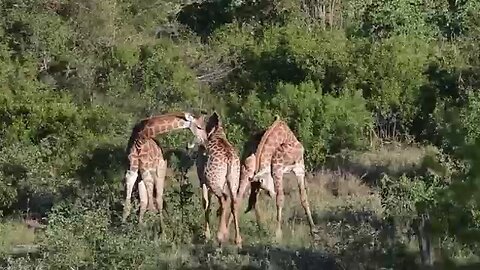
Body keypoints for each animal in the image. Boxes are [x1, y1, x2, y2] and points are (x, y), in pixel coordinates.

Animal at [193, 111, 242, 247]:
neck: (218, 133)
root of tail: (229, 158)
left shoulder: (202, 180)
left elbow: (205, 202)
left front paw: (207, 235)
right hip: (233, 179)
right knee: (234, 201)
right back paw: (238, 240)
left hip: (213, 180)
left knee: (223, 198)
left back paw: (220, 236)